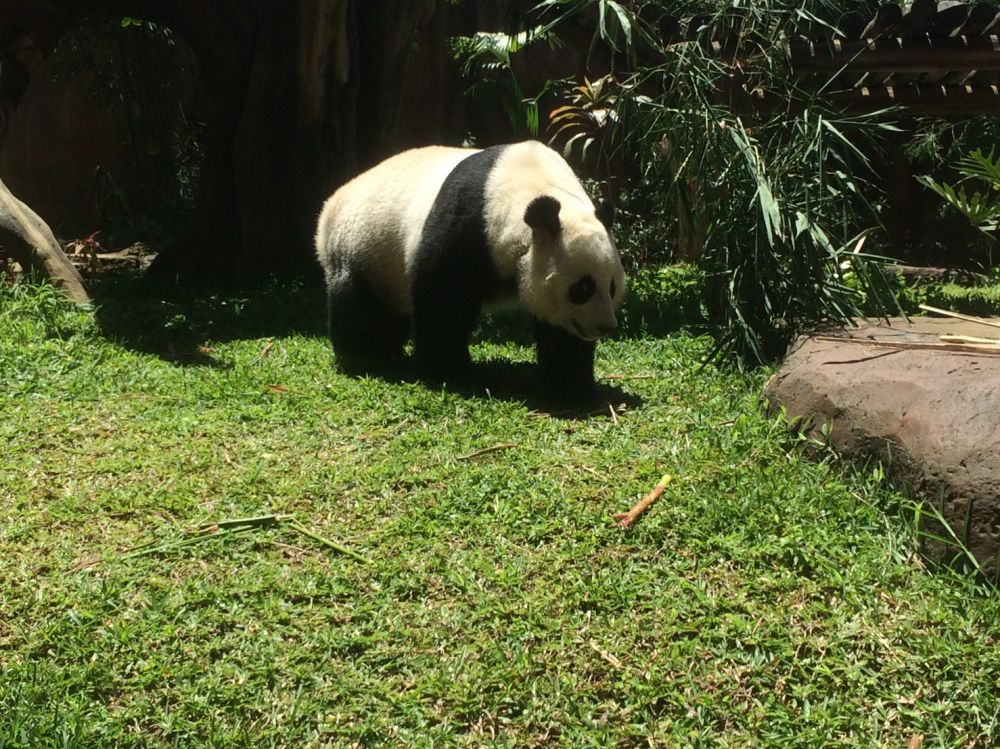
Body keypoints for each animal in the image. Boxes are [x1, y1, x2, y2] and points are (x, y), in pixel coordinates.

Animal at [314, 140, 625, 401]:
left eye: (611, 287)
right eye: (583, 288)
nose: (605, 326)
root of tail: (328, 209)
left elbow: (560, 330)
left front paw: (571, 385)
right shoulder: (467, 225)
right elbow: (443, 300)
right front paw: (451, 370)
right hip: (364, 247)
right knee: (359, 303)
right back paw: (367, 352)